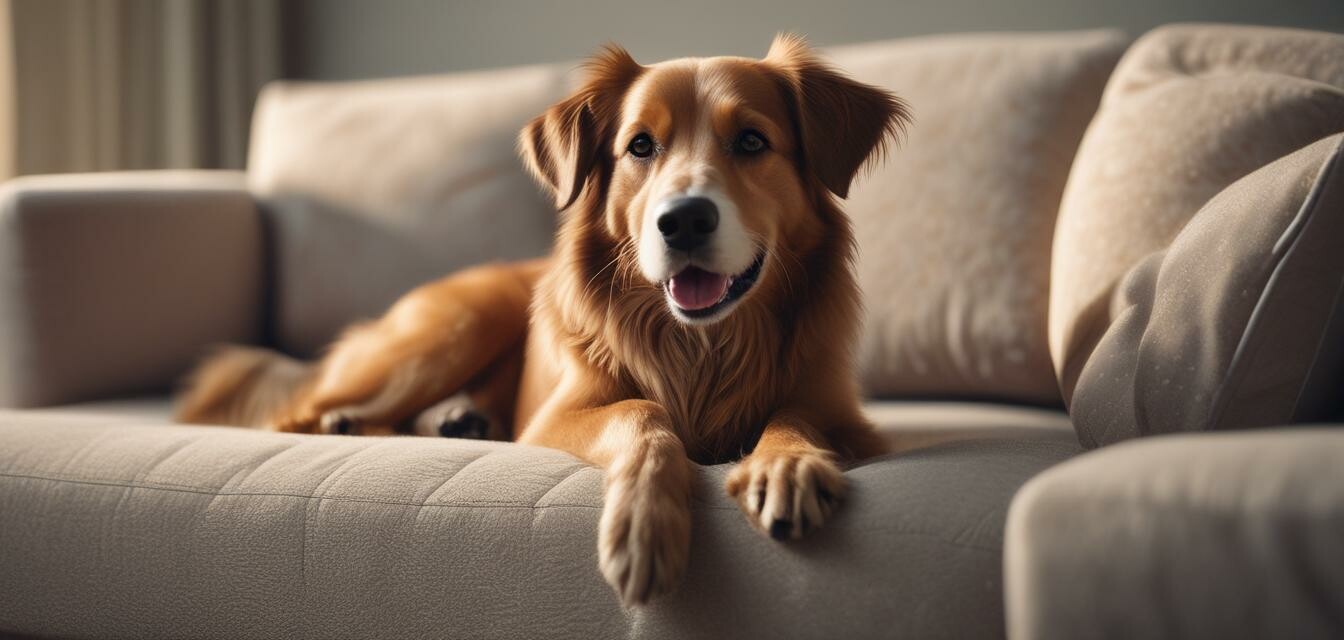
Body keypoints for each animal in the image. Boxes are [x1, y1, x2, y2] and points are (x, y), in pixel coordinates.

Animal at [176, 34, 903, 605]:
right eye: (641, 146)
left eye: (752, 141)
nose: (684, 220)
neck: (705, 345)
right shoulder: (558, 417)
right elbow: (644, 414)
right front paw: (643, 528)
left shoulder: (842, 413)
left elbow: (795, 417)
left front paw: (785, 466)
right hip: (455, 326)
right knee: (294, 414)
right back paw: (351, 421)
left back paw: (452, 420)